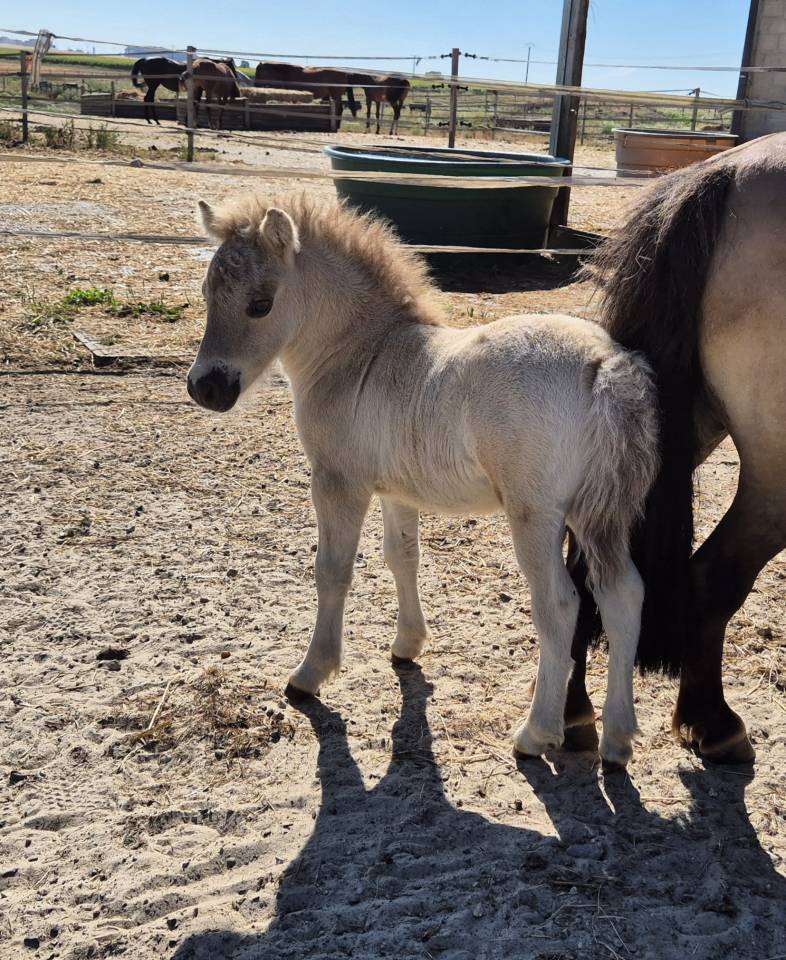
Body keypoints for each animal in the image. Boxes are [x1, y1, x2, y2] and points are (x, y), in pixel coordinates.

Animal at [185, 193, 660, 769]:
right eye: (207, 292)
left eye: (260, 304)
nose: (205, 387)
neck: (359, 353)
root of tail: (605, 361)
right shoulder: (396, 490)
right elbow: (402, 558)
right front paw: (407, 646)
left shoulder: (338, 483)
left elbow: (333, 572)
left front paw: (311, 673)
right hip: (599, 513)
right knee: (623, 595)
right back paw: (618, 738)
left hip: (536, 515)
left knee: (560, 606)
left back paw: (536, 734)